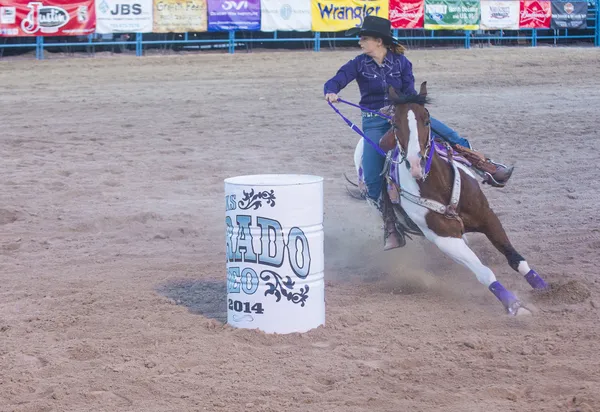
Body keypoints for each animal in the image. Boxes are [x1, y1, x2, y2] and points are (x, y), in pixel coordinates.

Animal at [356, 81, 548, 316]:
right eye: (396, 125)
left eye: (427, 120)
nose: (416, 164)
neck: (439, 184)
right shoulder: (445, 238)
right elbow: (483, 272)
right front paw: (514, 305)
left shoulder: (487, 217)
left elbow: (514, 257)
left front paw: (544, 288)